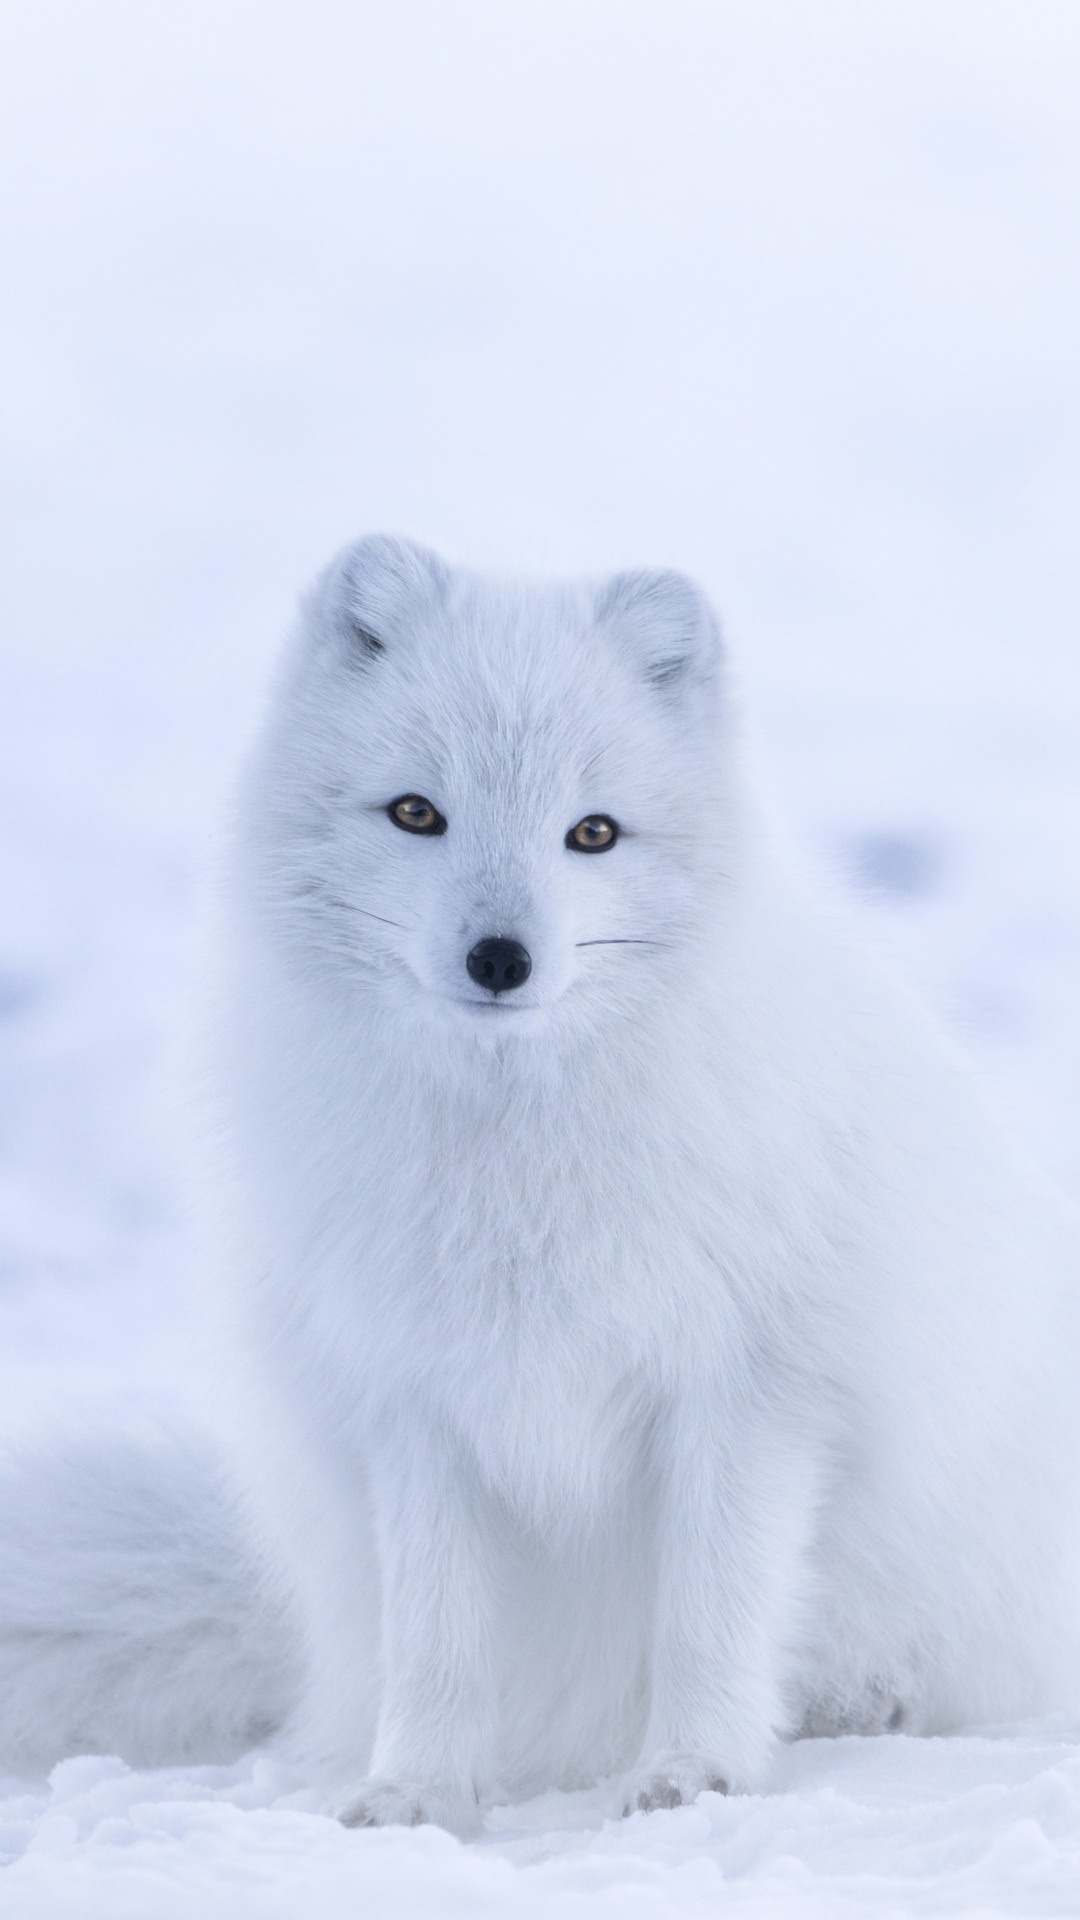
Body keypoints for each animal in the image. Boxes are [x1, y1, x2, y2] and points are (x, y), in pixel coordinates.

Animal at [1, 534, 1079, 1835]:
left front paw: (695, 1775)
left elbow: (711, 1615)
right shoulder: (412, 1403)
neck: (515, 1161)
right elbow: (438, 1642)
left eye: (595, 833)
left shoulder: (749, 1392)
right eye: (417, 812)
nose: (501, 959)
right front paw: (414, 1793)